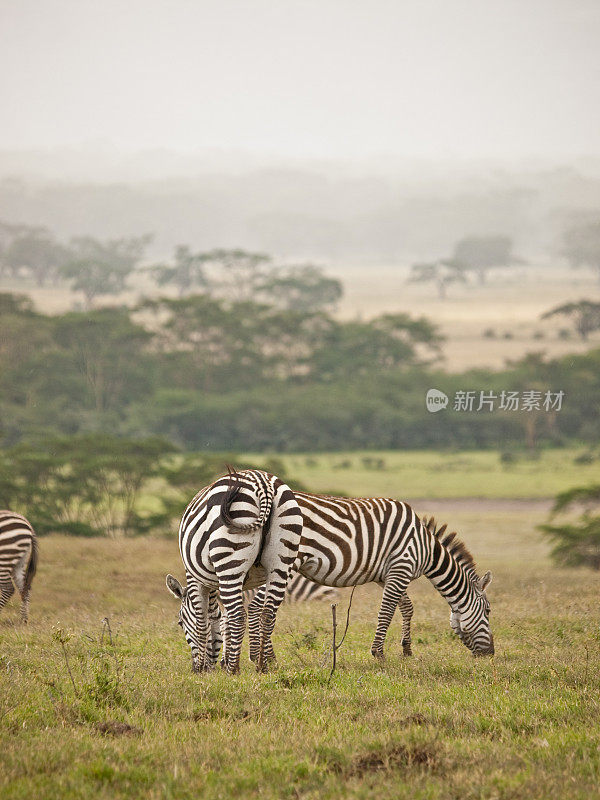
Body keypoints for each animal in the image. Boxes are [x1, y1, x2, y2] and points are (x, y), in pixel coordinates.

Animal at [165, 468, 302, 676]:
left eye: (180, 622)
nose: (195, 668)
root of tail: (262, 482)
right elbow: (222, 619)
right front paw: (219, 660)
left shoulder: (195, 577)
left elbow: (202, 621)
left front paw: (204, 667)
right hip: (282, 561)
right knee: (268, 613)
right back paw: (261, 666)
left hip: (229, 556)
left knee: (238, 615)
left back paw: (233, 670)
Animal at [246, 494, 494, 664]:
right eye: (489, 611)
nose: (491, 654)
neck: (426, 548)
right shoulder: (401, 567)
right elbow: (387, 611)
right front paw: (379, 653)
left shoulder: (389, 575)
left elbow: (407, 607)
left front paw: (407, 650)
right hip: (284, 563)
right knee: (258, 606)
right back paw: (264, 658)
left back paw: (258, 656)